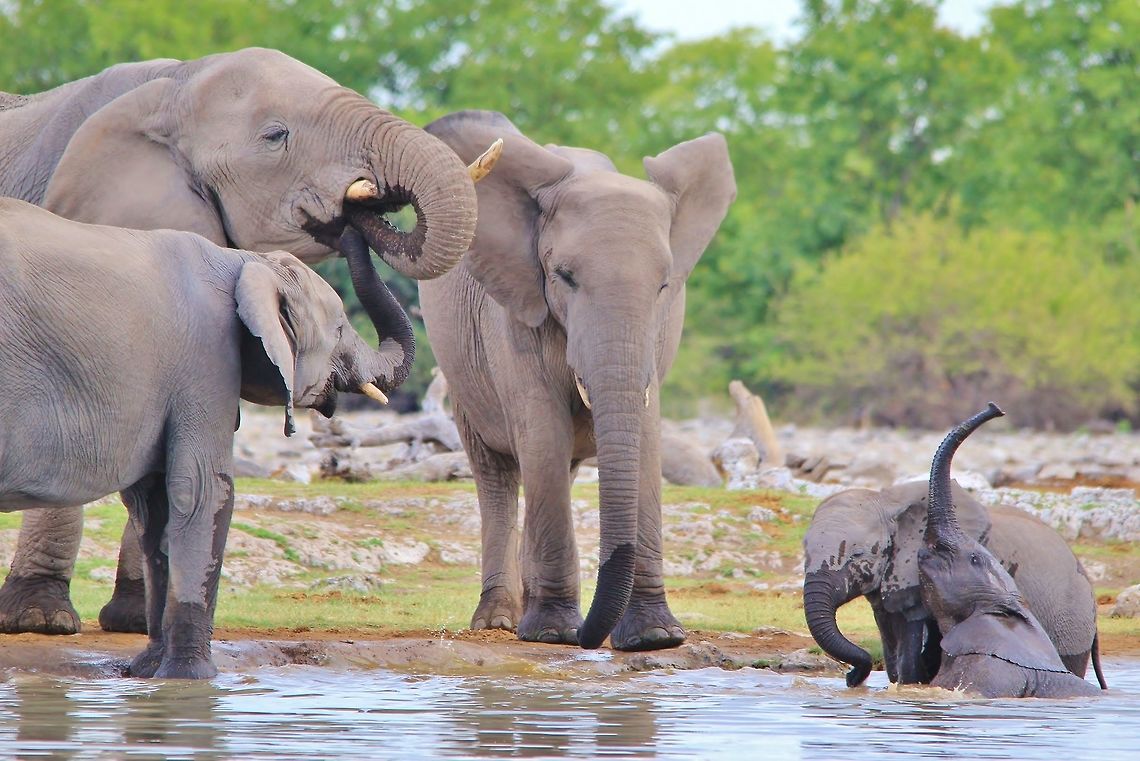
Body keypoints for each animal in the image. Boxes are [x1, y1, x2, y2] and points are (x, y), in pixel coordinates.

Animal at [0, 198, 393, 677]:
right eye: (339, 330)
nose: (356, 207)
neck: (246, 262)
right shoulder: (207, 357)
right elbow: (202, 489)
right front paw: (192, 678)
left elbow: (155, 504)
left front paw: (148, 673)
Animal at [419, 110, 736, 651]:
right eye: (564, 276)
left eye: (664, 285)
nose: (592, 635)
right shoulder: (515, 312)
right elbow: (543, 430)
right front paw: (552, 633)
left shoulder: (659, 333)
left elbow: (645, 434)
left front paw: (654, 638)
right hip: (462, 370)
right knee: (497, 472)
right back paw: (500, 623)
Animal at [803, 479, 1106, 688]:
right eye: (804, 552)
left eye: (859, 555)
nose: (851, 677)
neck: (888, 501)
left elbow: (909, 656)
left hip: (1071, 620)